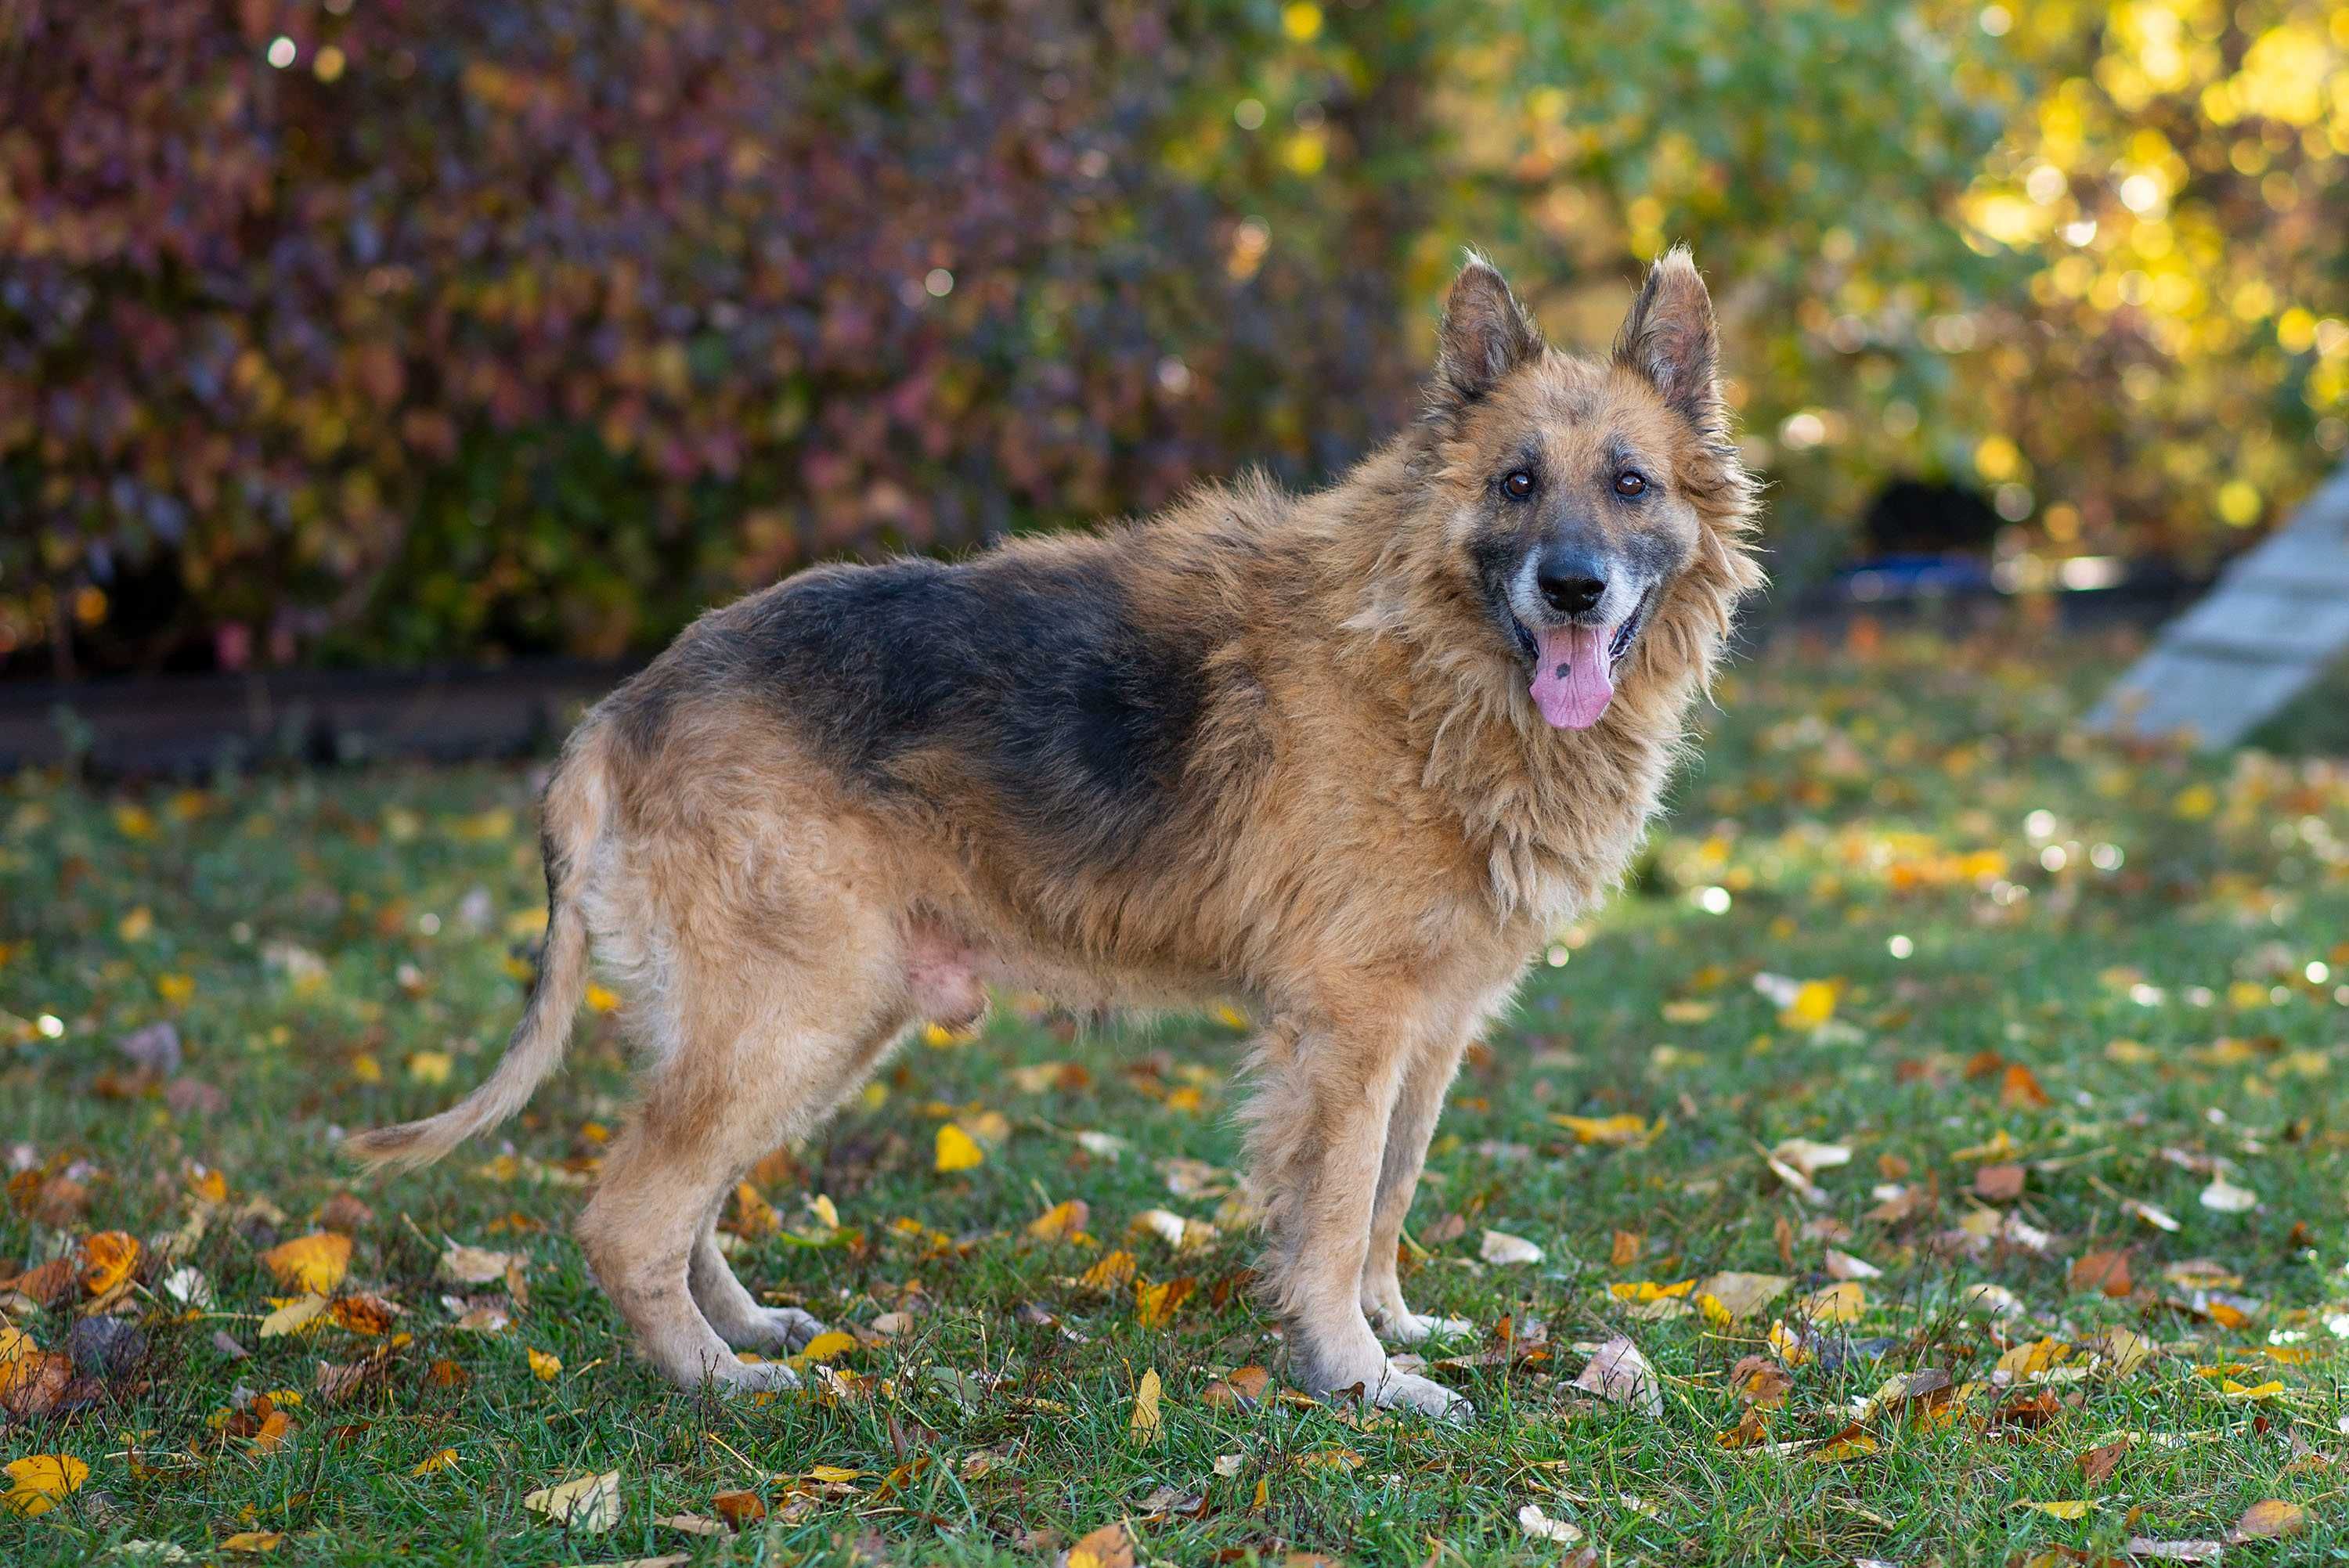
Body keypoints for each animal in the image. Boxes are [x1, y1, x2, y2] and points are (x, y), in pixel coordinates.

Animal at [352, 247, 1766, 1418]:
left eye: (1629, 485)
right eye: (1516, 484)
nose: (1574, 588)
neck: (1429, 659)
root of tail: (623, 705)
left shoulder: (1426, 1031)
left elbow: (1387, 1198)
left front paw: (1390, 1324)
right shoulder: (1350, 1031)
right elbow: (1331, 1211)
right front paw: (1359, 1374)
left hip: (795, 1024)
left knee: (684, 1203)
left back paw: (744, 1329)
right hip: (792, 1015)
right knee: (628, 1217)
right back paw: (717, 1381)